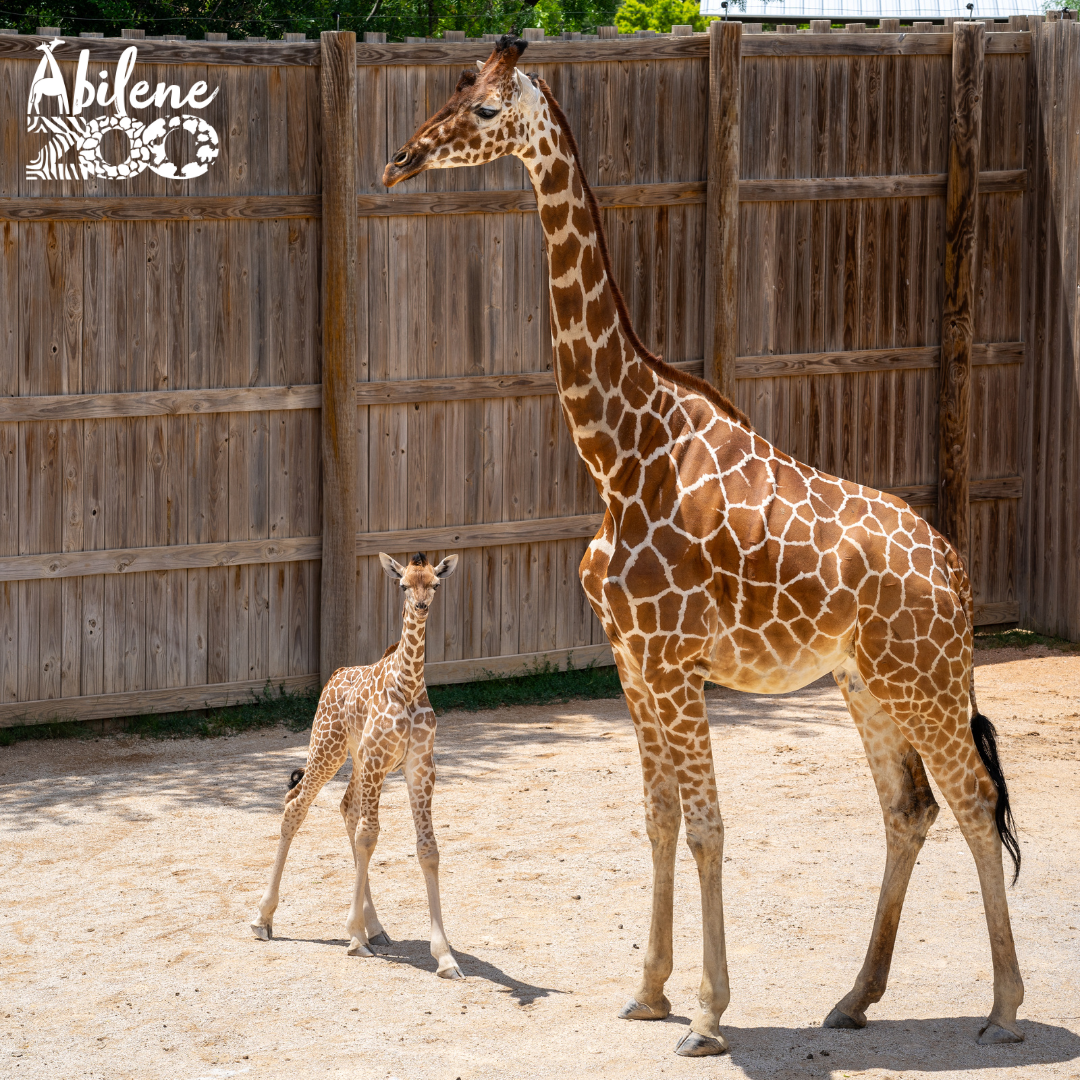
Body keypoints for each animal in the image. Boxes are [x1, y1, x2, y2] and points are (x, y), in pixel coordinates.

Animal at [250, 552, 464, 980]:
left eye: (434, 584)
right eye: (403, 584)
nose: (421, 606)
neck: (408, 684)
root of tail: (333, 676)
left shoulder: (420, 766)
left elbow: (427, 848)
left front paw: (445, 956)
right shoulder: (380, 760)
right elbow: (369, 836)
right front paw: (352, 934)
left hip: (357, 759)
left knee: (346, 807)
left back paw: (375, 928)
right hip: (328, 749)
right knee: (296, 806)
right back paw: (263, 919)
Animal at [382, 37, 1025, 1054]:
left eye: (485, 110)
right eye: (453, 88)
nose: (401, 159)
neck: (618, 456)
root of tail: (957, 569)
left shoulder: (677, 664)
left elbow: (707, 826)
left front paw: (711, 1017)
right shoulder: (633, 663)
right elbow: (655, 819)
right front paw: (649, 993)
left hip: (922, 679)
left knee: (971, 800)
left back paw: (1003, 1009)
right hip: (867, 681)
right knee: (909, 808)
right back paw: (854, 999)